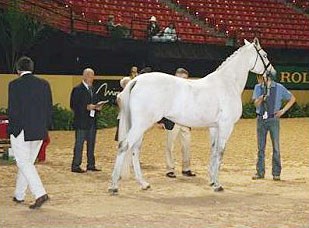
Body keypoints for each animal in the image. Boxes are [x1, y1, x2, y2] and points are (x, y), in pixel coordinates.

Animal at [108, 38, 274, 192]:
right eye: (265, 55)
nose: (272, 72)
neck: (227, 83)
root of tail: (136, 80)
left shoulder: (214, 127)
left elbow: (213, 151)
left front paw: (212, 180)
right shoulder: (225, 126)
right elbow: (220, 152)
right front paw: (217, 185)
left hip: (139, 125)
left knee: (135, 148)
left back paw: (143, 184)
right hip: (141, 124)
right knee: (124, 145)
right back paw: (114, 186)